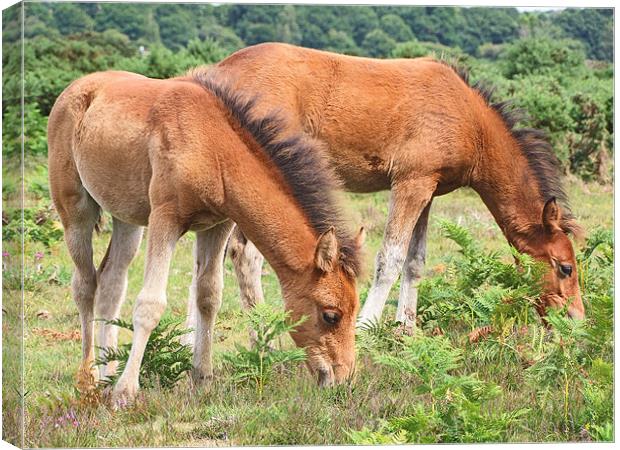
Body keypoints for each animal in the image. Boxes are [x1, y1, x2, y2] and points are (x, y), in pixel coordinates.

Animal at [50, 69, 366, 404]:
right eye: (331, 315)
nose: (343, 379)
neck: (213, 150)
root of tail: (78, 86)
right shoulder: (164, 218)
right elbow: (150, 304)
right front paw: (126, 393)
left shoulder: (216, 225)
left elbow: (208, 296)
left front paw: (201, 379)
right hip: (75, 210)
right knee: (85, 285)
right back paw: (89, 380)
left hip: (127, 217)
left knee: (111, 283)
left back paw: (107, 375)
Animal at [205, 43, 588, 330]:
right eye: (565, 267)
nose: (576, 320)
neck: (469, 119)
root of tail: (219, 71)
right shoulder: (410, 182)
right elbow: (390, 257)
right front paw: (365, 329)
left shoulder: (428, 189)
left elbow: (415, 261)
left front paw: (406, 330)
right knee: (248, 255)